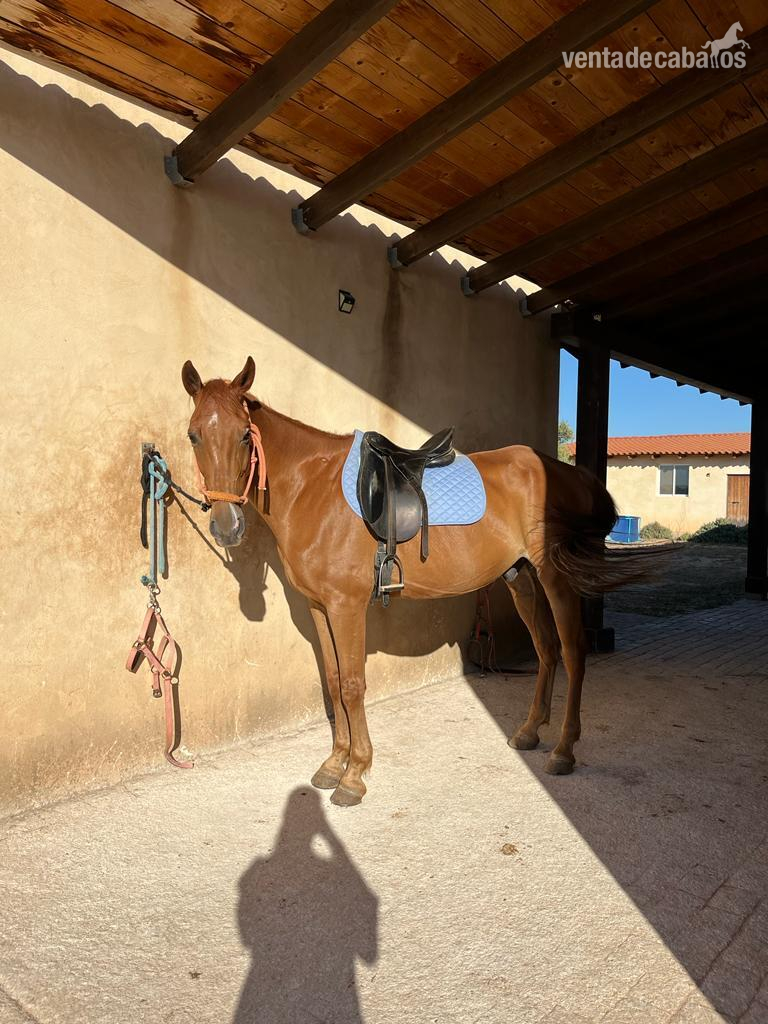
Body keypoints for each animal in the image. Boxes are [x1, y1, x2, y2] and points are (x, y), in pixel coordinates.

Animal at [182, 356, 643, 806]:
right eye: (193, 435)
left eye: (245, 435)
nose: (226, 526)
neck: (311, 487)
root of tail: (569, 473)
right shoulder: (318, 606)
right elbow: (332, 682)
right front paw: (334, 764)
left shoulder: (346, 606)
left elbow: (351, 685)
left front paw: (354, 774)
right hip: (522, 578)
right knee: (547, 649)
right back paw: (529, 732)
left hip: (556, 579)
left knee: (573, 651)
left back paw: (563, 750)